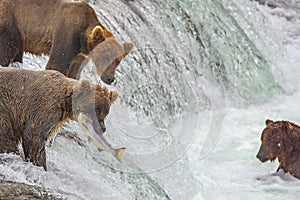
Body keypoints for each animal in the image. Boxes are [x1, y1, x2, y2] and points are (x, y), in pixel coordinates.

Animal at [0, 0, 134, 84]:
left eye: (118, 61)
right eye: (106, 56)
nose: (110, 78)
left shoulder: (80, 55)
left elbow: (74, 71)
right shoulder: (68, 32)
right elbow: (57, 65)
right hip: (12, 20)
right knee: (7, 49)